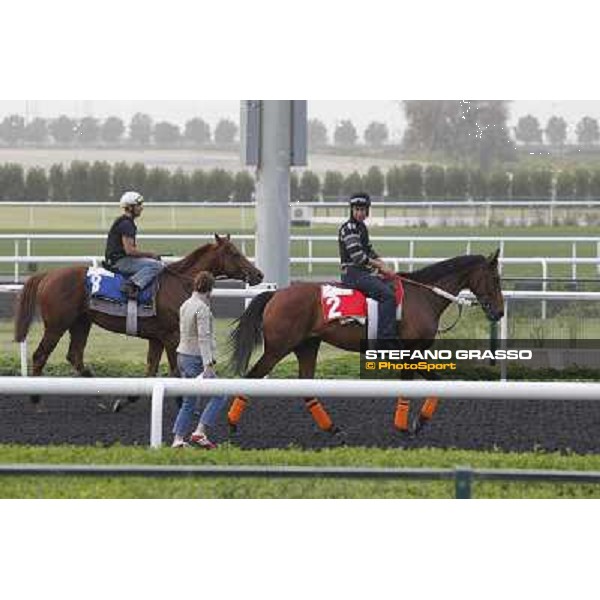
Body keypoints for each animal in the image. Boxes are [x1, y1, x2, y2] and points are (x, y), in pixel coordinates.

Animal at [13, 232, 262, 396]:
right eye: (233, 253)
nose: (258, 274)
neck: (179, 281)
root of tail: (47, 275)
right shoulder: (172, 336)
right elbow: (175, 372)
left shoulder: (157, 338)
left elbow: (151, 370)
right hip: (57, 324)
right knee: (40, 355)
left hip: (81, 323)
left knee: (75, 355)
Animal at [227, 251, 504, 438]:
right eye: (495, 279)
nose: (499, 312)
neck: (424, 296)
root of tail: (276, 294)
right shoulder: (410, 353)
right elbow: (429, 384)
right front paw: (410, 425)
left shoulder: (410, 355)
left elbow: (432, 384)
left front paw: (414, 422)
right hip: (277, 348)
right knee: (253, 377)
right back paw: (230, 423)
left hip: (307, 346)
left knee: (306, 388)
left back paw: (332, 428)